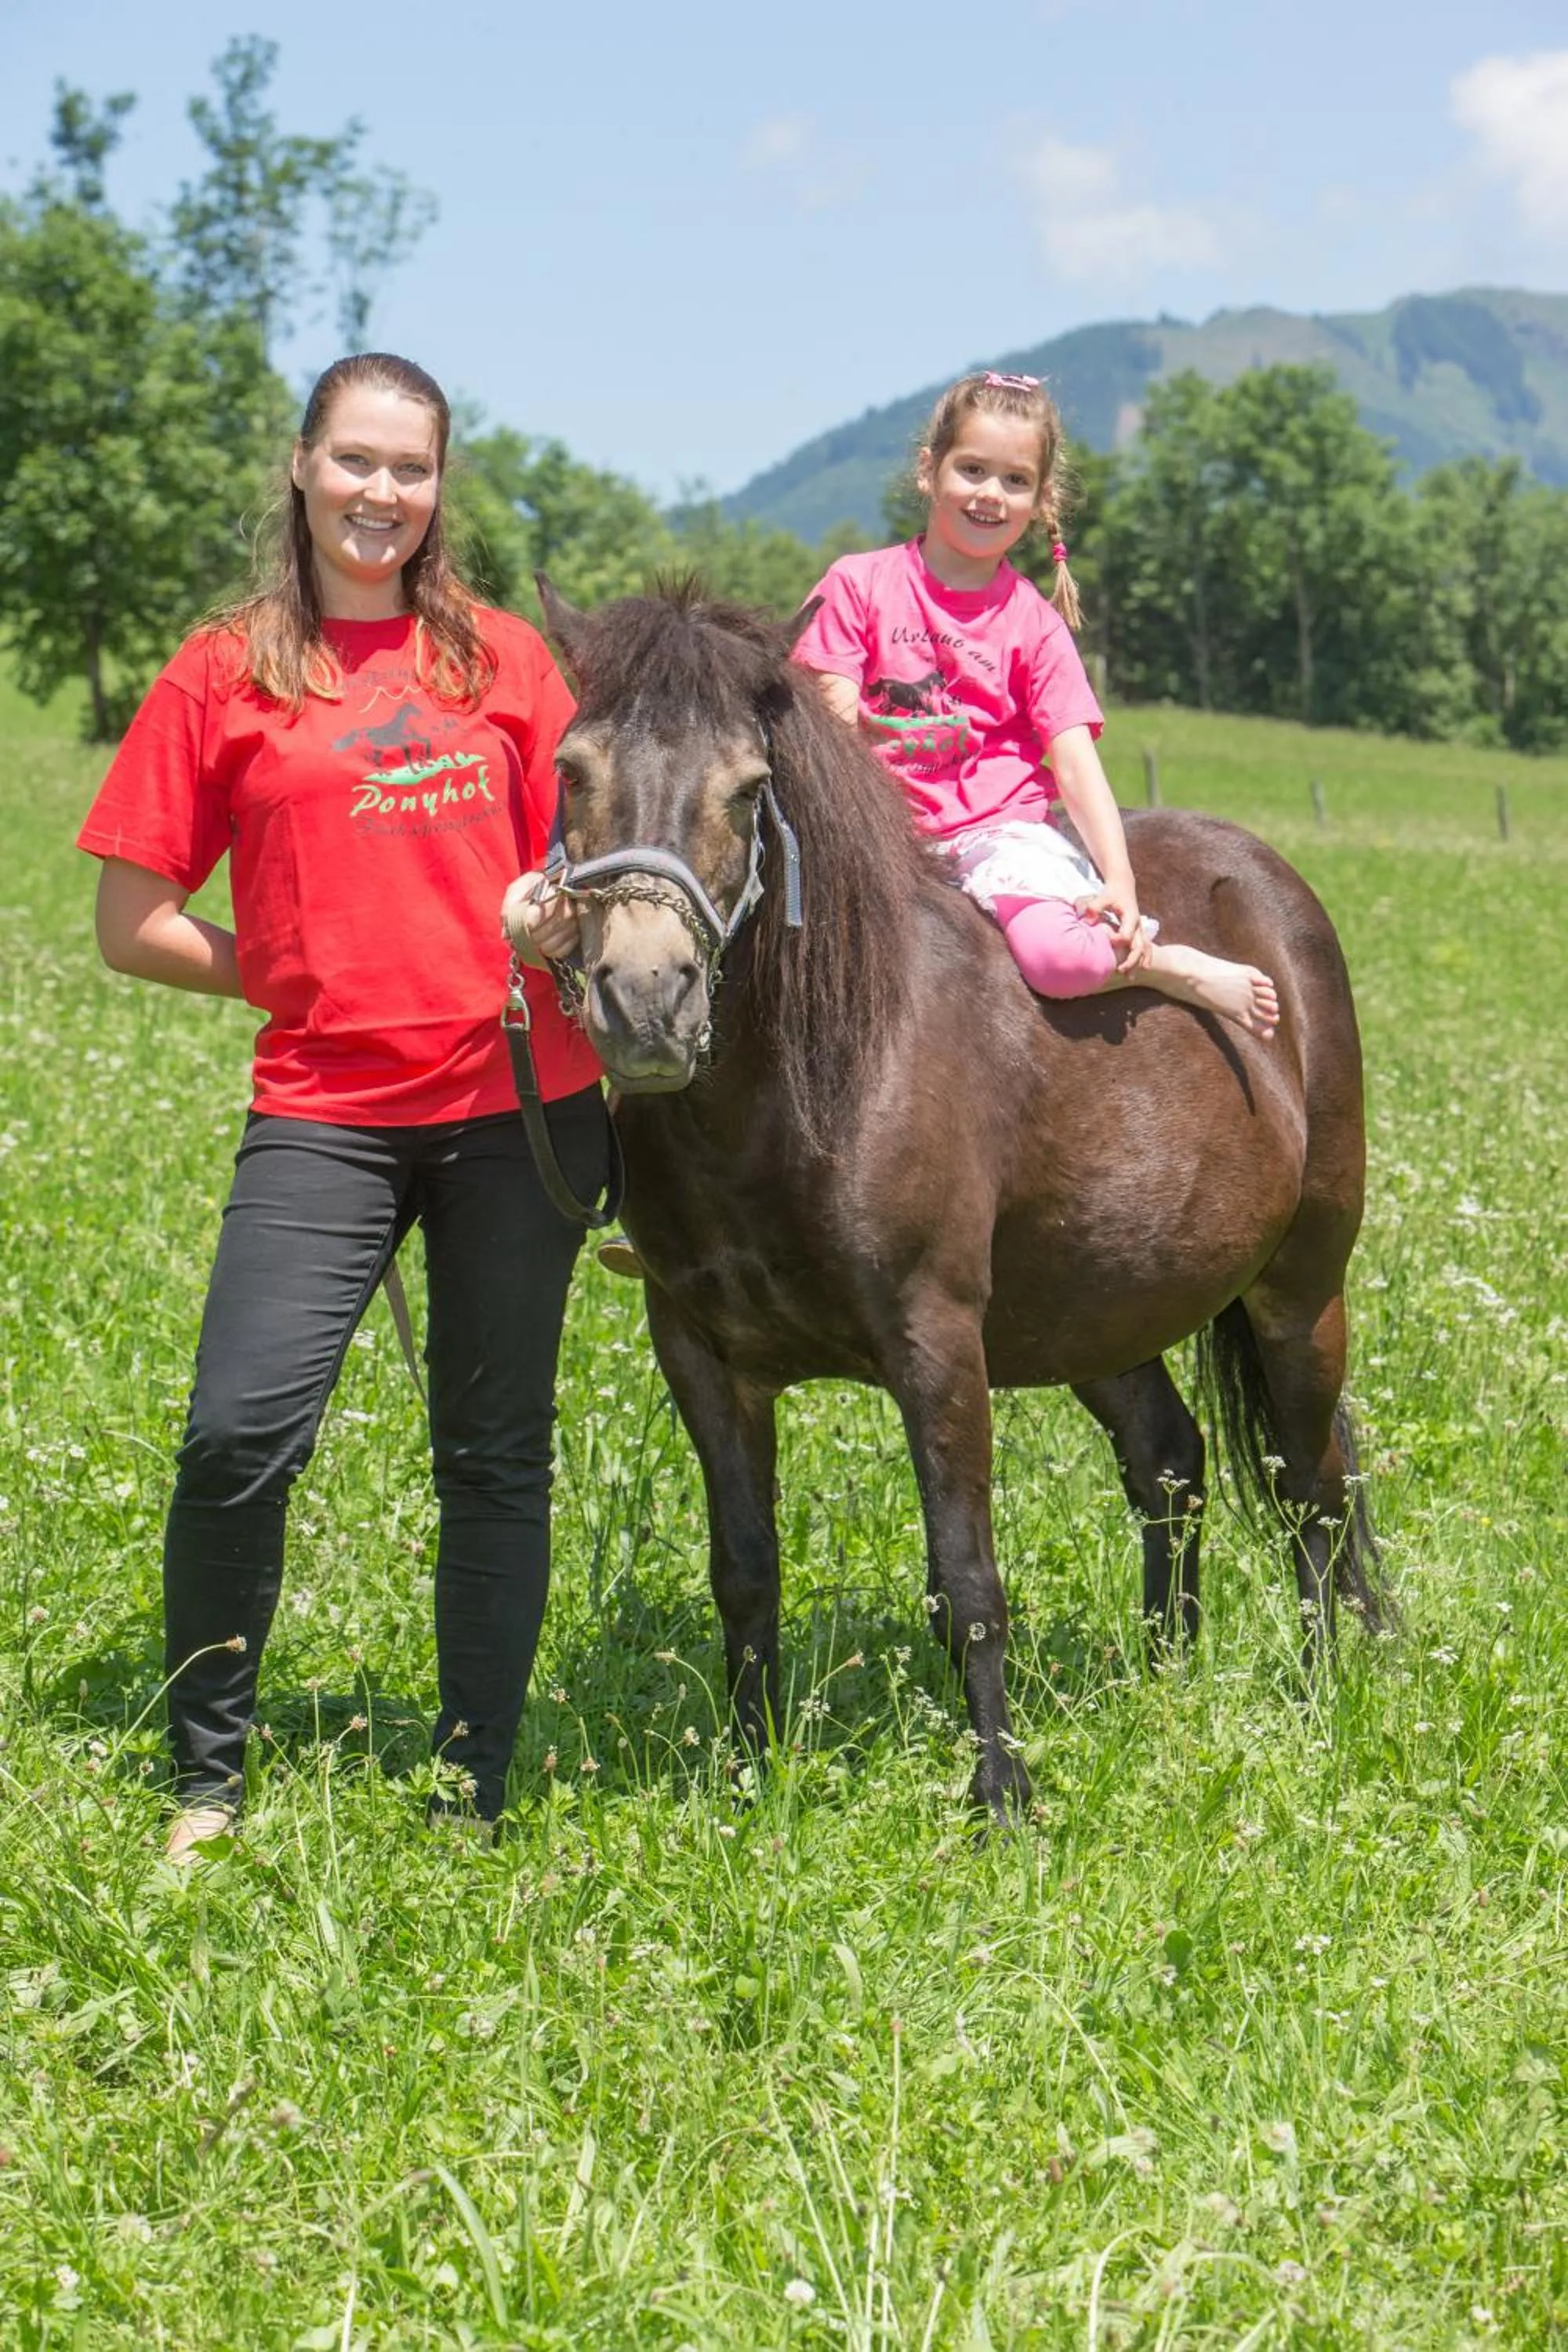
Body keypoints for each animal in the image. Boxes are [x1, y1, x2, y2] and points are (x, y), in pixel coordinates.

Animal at [533, 576, 1386, 1821]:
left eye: (746, 789)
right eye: (570, 772)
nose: (645, 1002)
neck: (809, 1081)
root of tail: (1268, 885)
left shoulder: (935, 1343)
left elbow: (968, 1579)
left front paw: (1001, 1792)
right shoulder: (699, 1354)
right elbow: (745, 1571)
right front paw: (749, 1771)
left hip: (1299, 1292)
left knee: (1312, 1486)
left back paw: (1326, 1690)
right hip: (1099, 1309)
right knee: (1173, 1463)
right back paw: (1167, 1671)